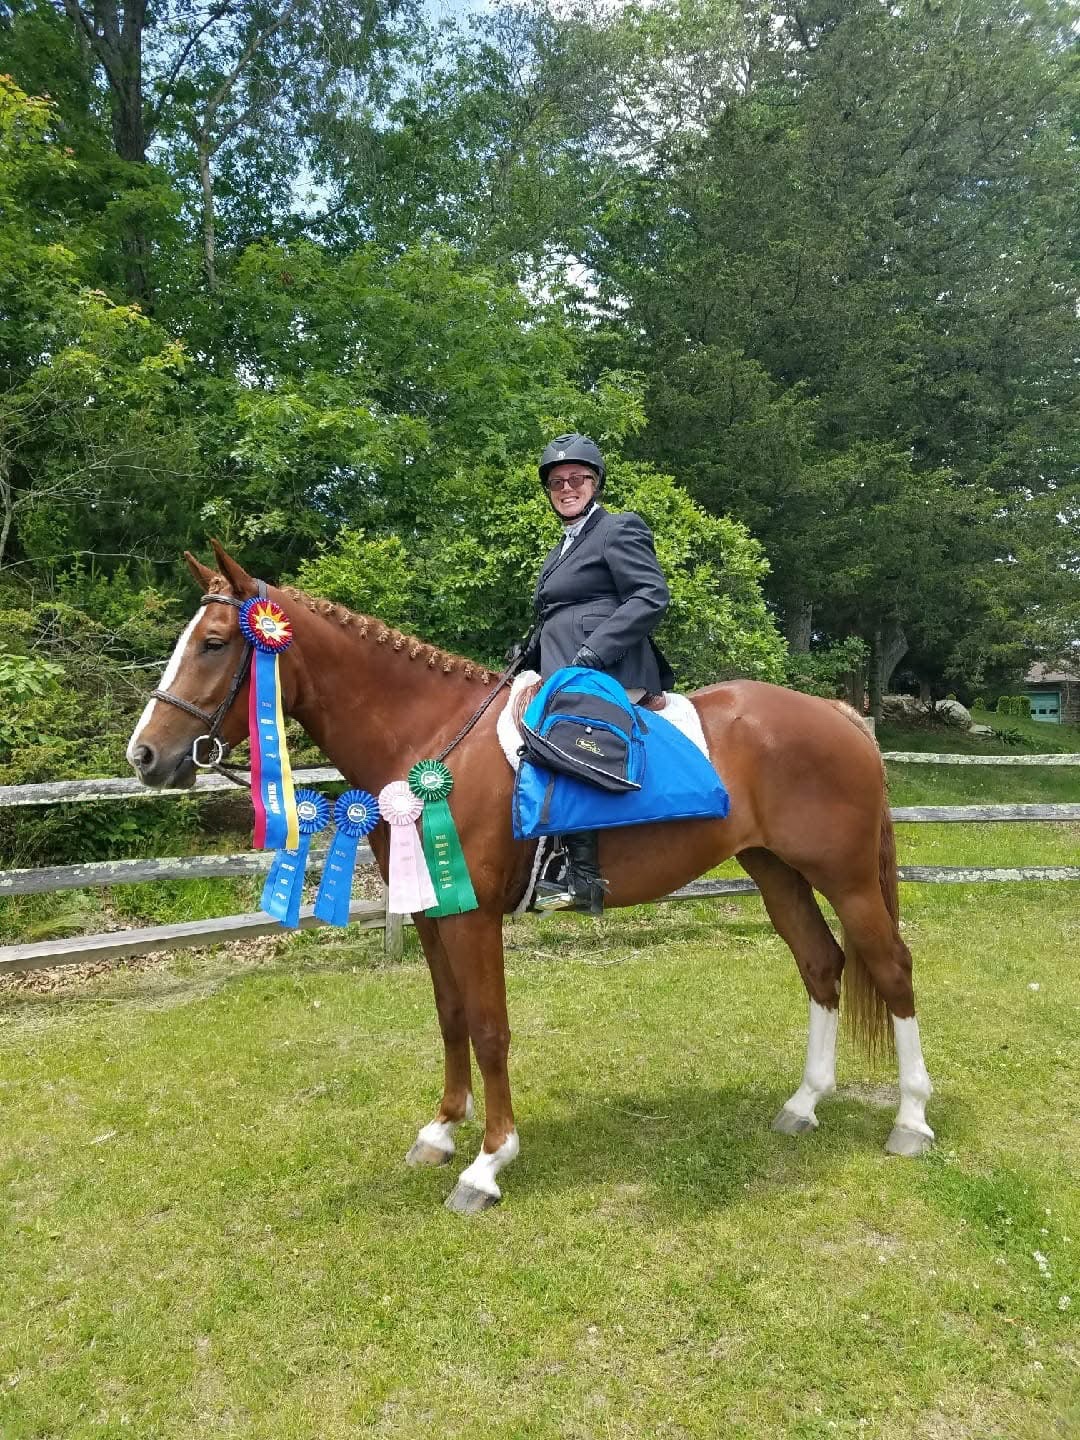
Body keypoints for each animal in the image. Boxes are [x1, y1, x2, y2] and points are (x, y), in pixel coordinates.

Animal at [127, 541, 934, 1213]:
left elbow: (489, 1029)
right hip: (777, 873)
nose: (143, 757)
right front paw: (442, 1130)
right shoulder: (431, 913)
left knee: (892, 969)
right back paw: (804, 1104)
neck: (432, 743)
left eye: (214, 644)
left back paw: (912, 1120)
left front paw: (488, 1163)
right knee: (820, 964)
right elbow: (450, 1018)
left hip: (847, 879)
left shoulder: (473, 916)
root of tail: (839, 713)